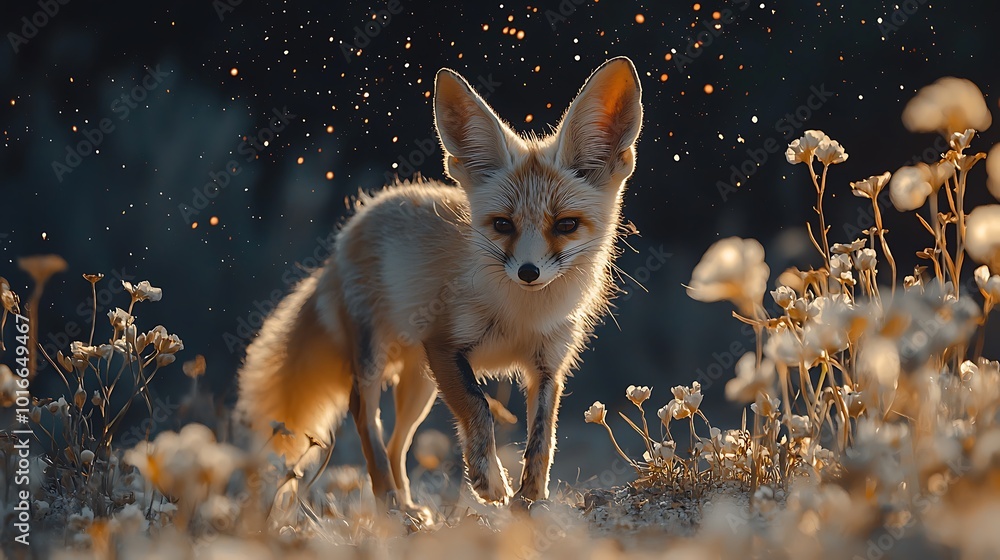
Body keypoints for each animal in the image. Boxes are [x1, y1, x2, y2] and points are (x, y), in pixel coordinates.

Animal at [236, 56, 643, 511]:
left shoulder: (548, 365)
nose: (528, 272)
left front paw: (531, 502)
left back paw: (407, 505)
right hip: (379, 360)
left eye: (566, 225)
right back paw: (392, 507)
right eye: (503, 225)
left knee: (396, 443)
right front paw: (490, 481)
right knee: (366, 418)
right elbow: (478, 407)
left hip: (419, 386)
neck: (522, 314)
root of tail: (352, 225)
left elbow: (542, 439)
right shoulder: (445, 348)